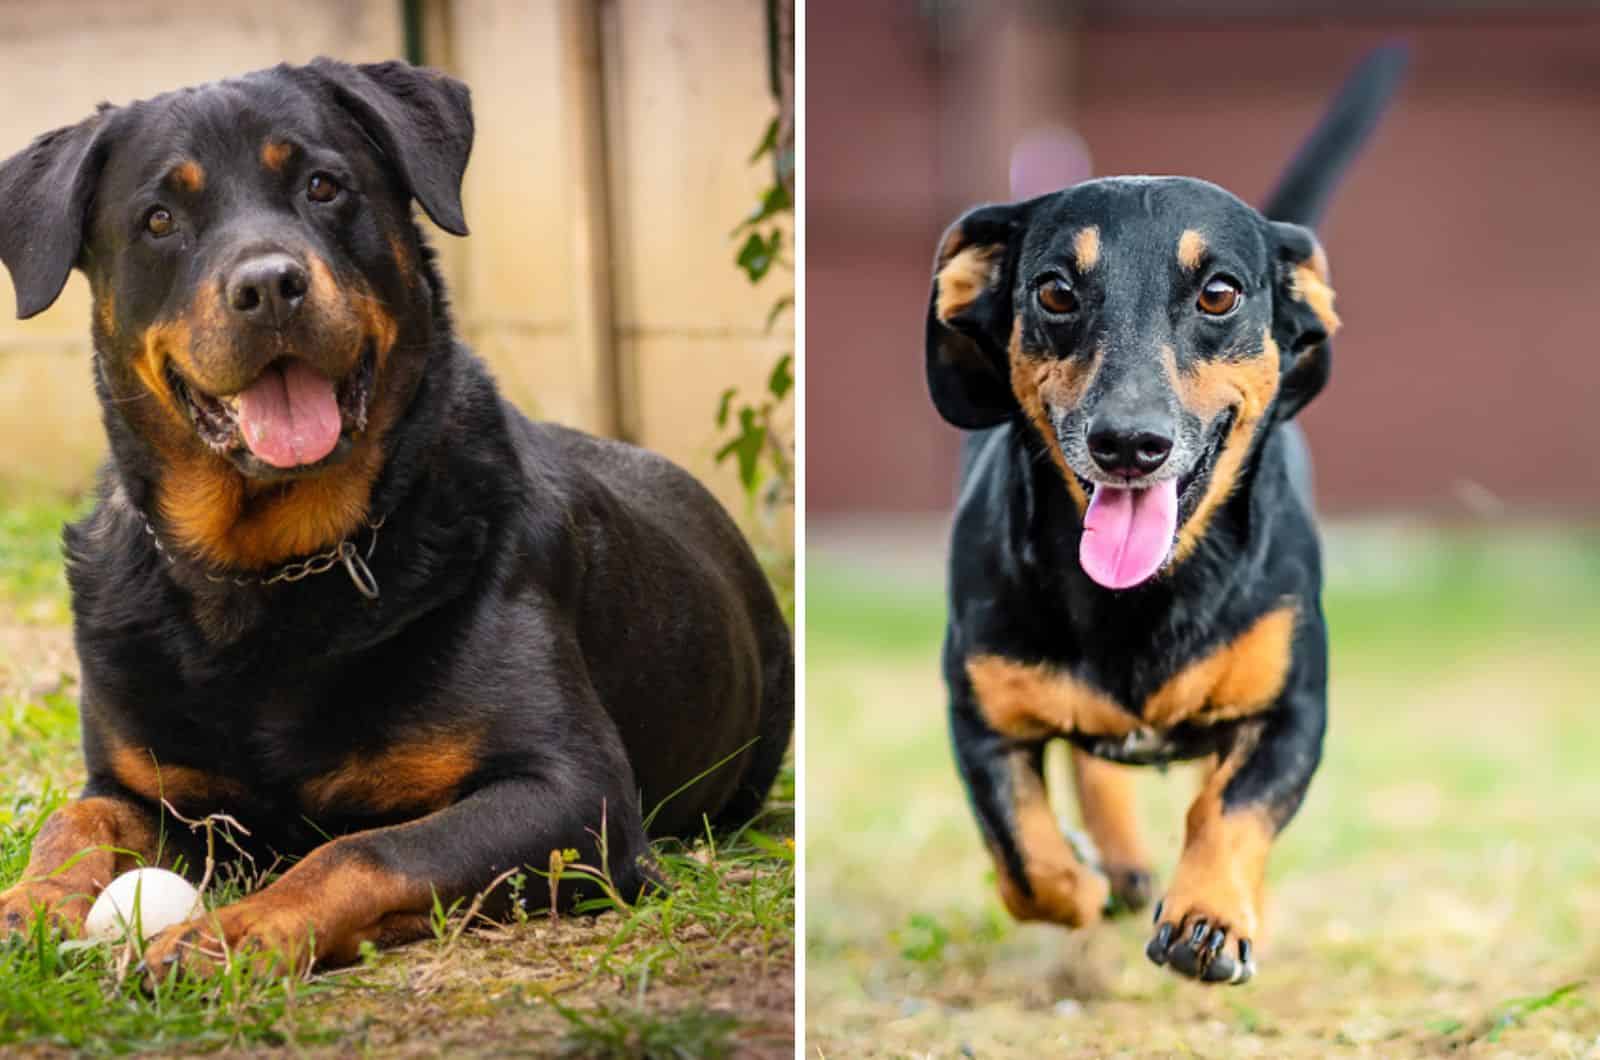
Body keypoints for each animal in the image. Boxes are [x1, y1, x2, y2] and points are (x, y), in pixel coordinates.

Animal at [0, 62, 793, 986]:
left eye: (323, 185)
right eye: (158, 219)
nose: (268, 285)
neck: (272, 570)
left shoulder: (571, 792)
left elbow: (361, 850)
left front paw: (231, 932)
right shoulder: (142, 787)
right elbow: (77, 818)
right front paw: (27, 902)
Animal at [928, 45, 1401, 986]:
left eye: (1219, 293)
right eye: (1055, 292)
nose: (1128, 443)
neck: (1143, 597)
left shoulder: (1295, 712)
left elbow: (1229, 810)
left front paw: (1210, 917)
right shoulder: (979, 715)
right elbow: (1024, 859)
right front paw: (1077, 882)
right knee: (1091, 771)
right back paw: (1112, 864)